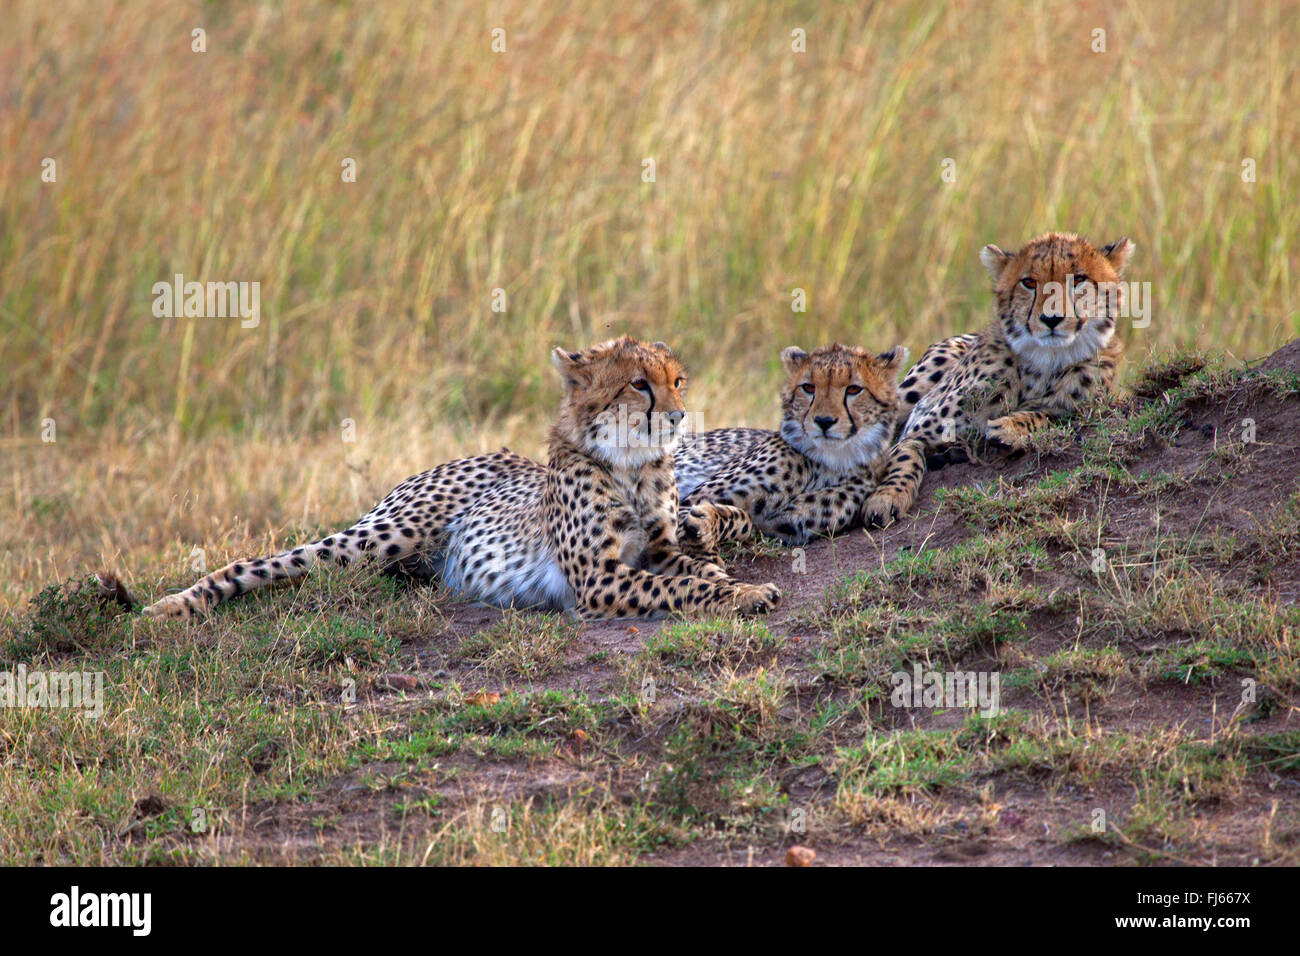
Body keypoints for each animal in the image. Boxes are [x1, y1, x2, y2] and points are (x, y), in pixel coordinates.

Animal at [139, 340, 780, 624]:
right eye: (638, 384)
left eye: (678, 380)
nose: (678, 416)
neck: (632, 465)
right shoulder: (597, 581)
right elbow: (683, 588)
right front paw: (744, 594)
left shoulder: (661, 549)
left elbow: (695, 568)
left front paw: (732, 579)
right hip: (373, 539)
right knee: (260, 563)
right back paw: (171, 605)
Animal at [670, 343, 904, 554]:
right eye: (808, 387)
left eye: (854, 389)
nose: (824, 421)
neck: (826, 461)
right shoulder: (687, 501)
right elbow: (739, 516)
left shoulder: (781, 526)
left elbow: (746, 521)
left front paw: (705, 522)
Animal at [868, 234, 1133, 530]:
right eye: (1029, 282)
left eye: (1078, 279)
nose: (1051, 319)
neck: (1044, 362)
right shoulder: (915, 431)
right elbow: (904, 457)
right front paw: (888, 497)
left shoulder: (1084, 408)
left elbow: (1048, 415)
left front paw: (1009, 427)